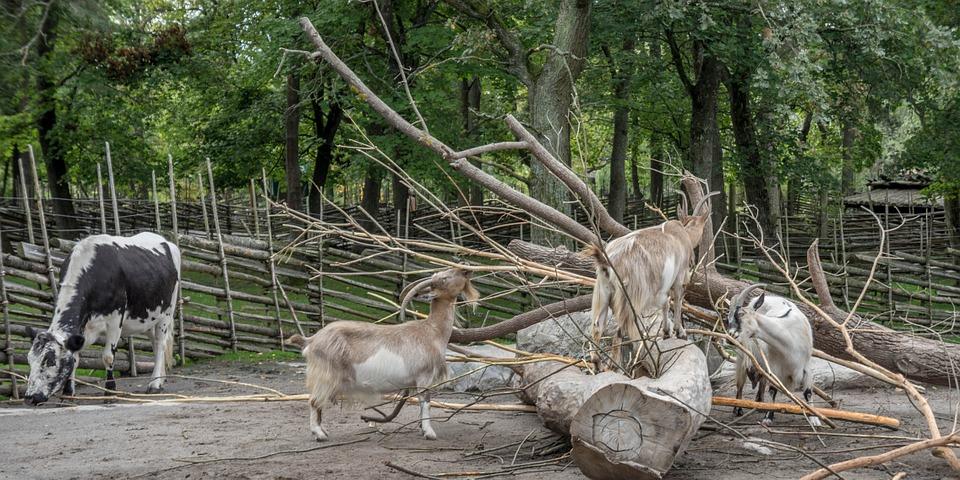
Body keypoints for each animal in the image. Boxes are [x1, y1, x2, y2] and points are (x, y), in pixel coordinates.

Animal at [23, 231, 182, 404]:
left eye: (50, 360)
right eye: (29, 360)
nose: (30, 397)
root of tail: (166, 241)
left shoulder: (115, 319)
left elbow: (108, 357)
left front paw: (110, 392)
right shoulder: (81, 328)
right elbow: (75, 358)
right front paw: (68, 393)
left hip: (166, 313)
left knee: (160, 344)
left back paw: (154, 384)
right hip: (147, 317)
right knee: (156, 344)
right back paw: (160, 379)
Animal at [284, 268, 480, 440]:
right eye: (444, 278)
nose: (466, 271)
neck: (431, 330)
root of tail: (311, 340)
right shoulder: (424, 377)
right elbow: (426, 403)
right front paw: (429, 433)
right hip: (326, 375)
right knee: (314, 402)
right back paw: (319, 434)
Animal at [584, 192, 712, 372]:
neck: (682, 235)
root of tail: (608, 261)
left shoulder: (662, 288)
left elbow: (665, 303)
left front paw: (666, 332)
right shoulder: (679, 278)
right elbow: (677, 300)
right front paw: (680, 332)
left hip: (602, 292)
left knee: (597, 327)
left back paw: (598, 366)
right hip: (629, 297)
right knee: (619, 331)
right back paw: (616, 367)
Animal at [728, 284, 816, 426]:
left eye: (741, 315)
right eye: (728, 319)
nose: (730, 337)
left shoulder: (807, 366)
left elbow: (808, 392)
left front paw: (815, 419)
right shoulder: (775, 369)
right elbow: (772, 390)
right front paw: (768, 417)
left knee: (761, 381)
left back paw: (760, 404)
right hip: (742, 357)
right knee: (740, 384)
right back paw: (738, 409)